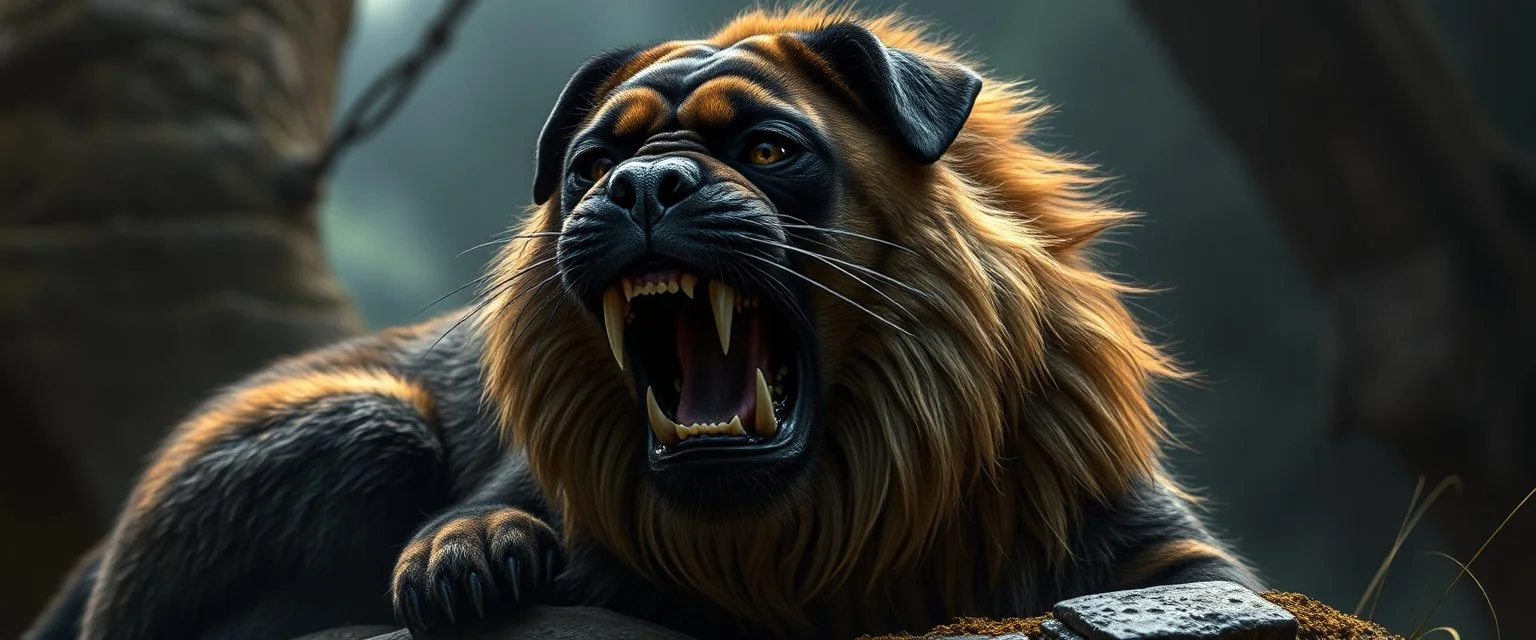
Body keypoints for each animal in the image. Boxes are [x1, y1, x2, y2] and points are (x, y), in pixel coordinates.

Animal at [28, 6, 1260, 640]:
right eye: (590, 165)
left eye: (768, 147)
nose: (642, 185)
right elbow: (490, 521)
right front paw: (474, 558)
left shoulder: (1173, 557)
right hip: (363, 424)